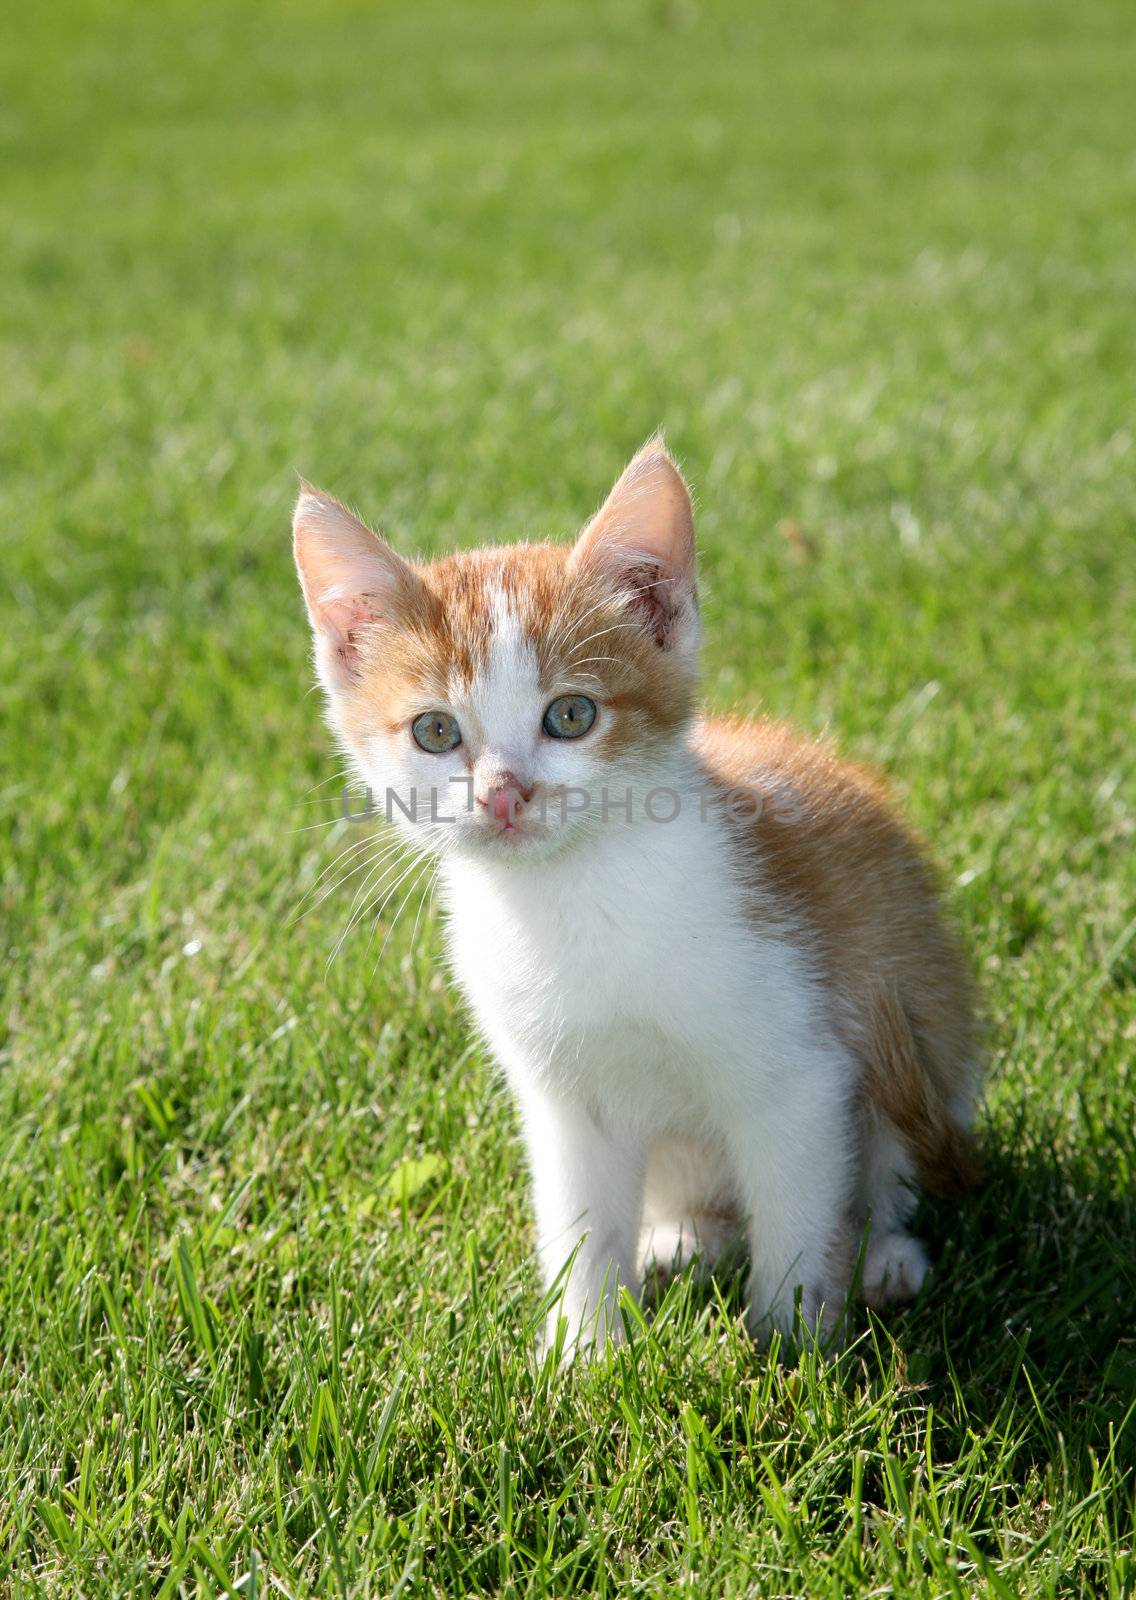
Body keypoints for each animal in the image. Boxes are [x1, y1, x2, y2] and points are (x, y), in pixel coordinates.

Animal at [297, 444, 985, 1356]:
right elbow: (581, 1222)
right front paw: (584, 1354)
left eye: (571, 715)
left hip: (916, 1012)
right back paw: (686, 1237)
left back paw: (883, 1255)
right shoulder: (560, 1097)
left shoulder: (800, 1068)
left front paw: (792, 1345)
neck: (578, 902)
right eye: (435, 732)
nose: (504, 794)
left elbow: (799, 1213)